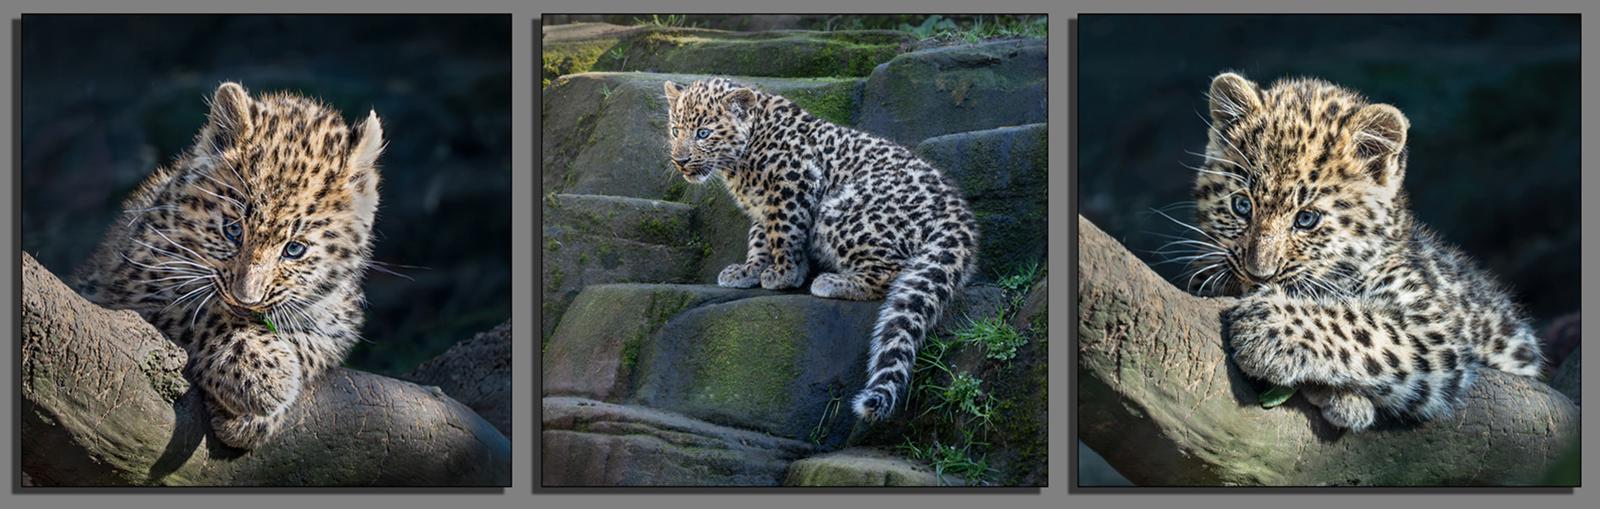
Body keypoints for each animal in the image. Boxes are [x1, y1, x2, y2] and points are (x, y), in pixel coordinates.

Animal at [70, 82, 385, 449]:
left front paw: (254, 413)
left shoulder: (340, 321)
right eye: (233, 230)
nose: (245, 299)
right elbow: (201, 312)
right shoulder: (129, 288)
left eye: (294, 249)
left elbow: (310, 344)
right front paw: (262, 373)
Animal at [662, 77, 979, 422]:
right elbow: (760, 237)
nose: (680, 160)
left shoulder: (792, 184)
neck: (741, 158)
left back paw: (831, 281)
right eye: (676, 130)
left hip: (838, 210)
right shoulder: (764, 204)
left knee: (892, 272)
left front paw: (784, 274)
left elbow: (782, 233)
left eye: (703, 133)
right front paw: (751, 270)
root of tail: (958, 214)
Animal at [1179, 71, 1543, 432]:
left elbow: (1362, 326)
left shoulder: (1437, 329)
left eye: (1306, 219)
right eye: (1242, 206)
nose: (1258, 274)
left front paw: (1268, 326)